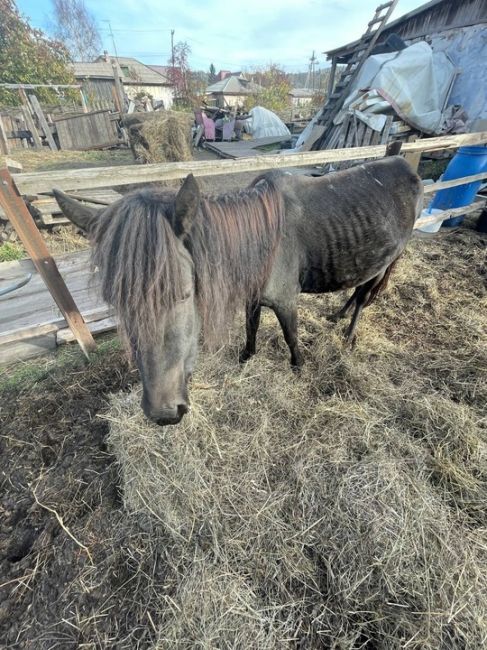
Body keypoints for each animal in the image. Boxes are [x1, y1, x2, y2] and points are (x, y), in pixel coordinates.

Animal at [53, 152, 424, 426]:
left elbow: (290, 337)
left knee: (363, 296)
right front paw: (246, 357)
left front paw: (298, 368)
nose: (164, 413)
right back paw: (337, 315)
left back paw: (348, 334)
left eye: (184, 293)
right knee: (356, 291)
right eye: (114, 300)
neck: (262, 238)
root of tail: (405, 165)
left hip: (389, 260)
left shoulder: (286, 301)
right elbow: (251, 326)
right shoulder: (253, 294)